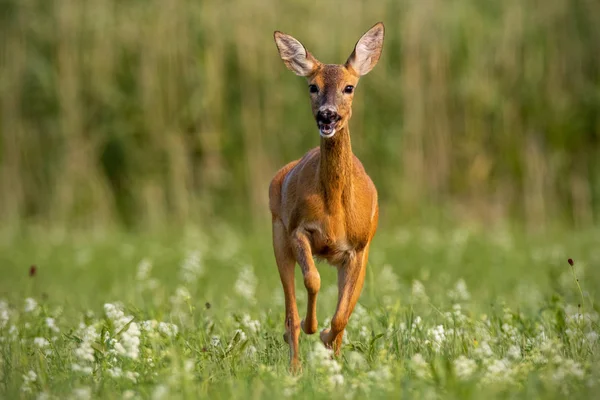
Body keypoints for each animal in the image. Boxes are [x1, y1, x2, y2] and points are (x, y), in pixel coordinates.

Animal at [268, 21, 384, 372]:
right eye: (312, 86)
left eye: (349, 87)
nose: (327, 116)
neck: (335, 209)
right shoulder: (298, 230)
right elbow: (313, 280)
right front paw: (313, 327)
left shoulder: (359, 248)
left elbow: (343, 315)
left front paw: (325, 338)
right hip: (277, 233)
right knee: (290, 312)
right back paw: (295, 365)